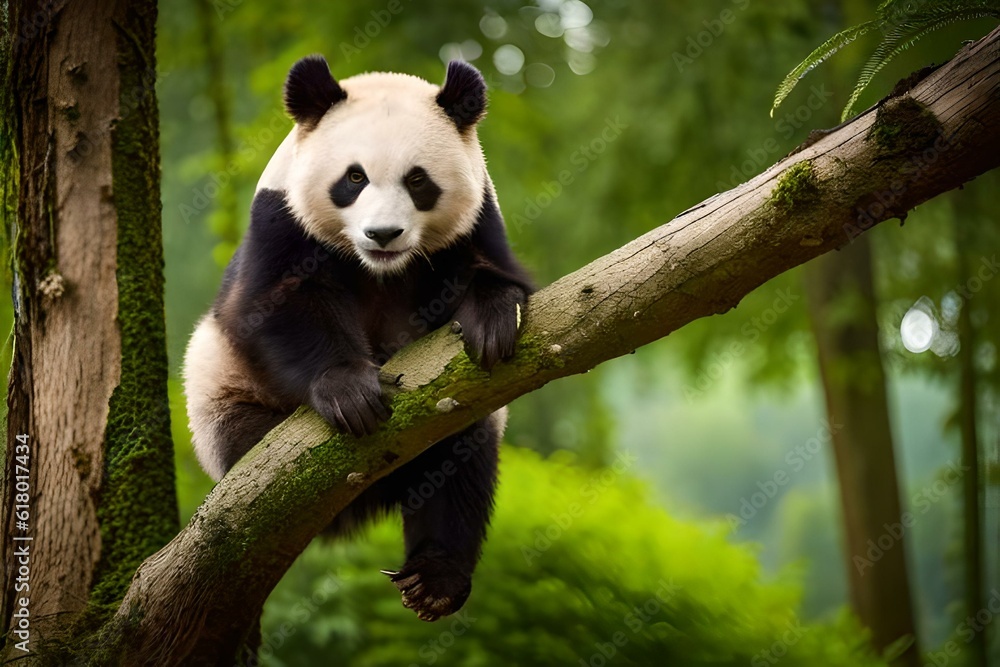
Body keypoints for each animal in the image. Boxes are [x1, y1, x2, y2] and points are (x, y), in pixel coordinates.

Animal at [183, 55, 533, 622]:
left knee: (460, 464)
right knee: (244, 435)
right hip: (222, 394)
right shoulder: (281, 219)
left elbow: (493, 272)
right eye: (354, 177)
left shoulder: (478, 218)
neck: (380, 270)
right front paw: (351, 391)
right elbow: (273, 306)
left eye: (418, 181)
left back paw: (434, 579)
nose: (383, 234)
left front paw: (493, 319)